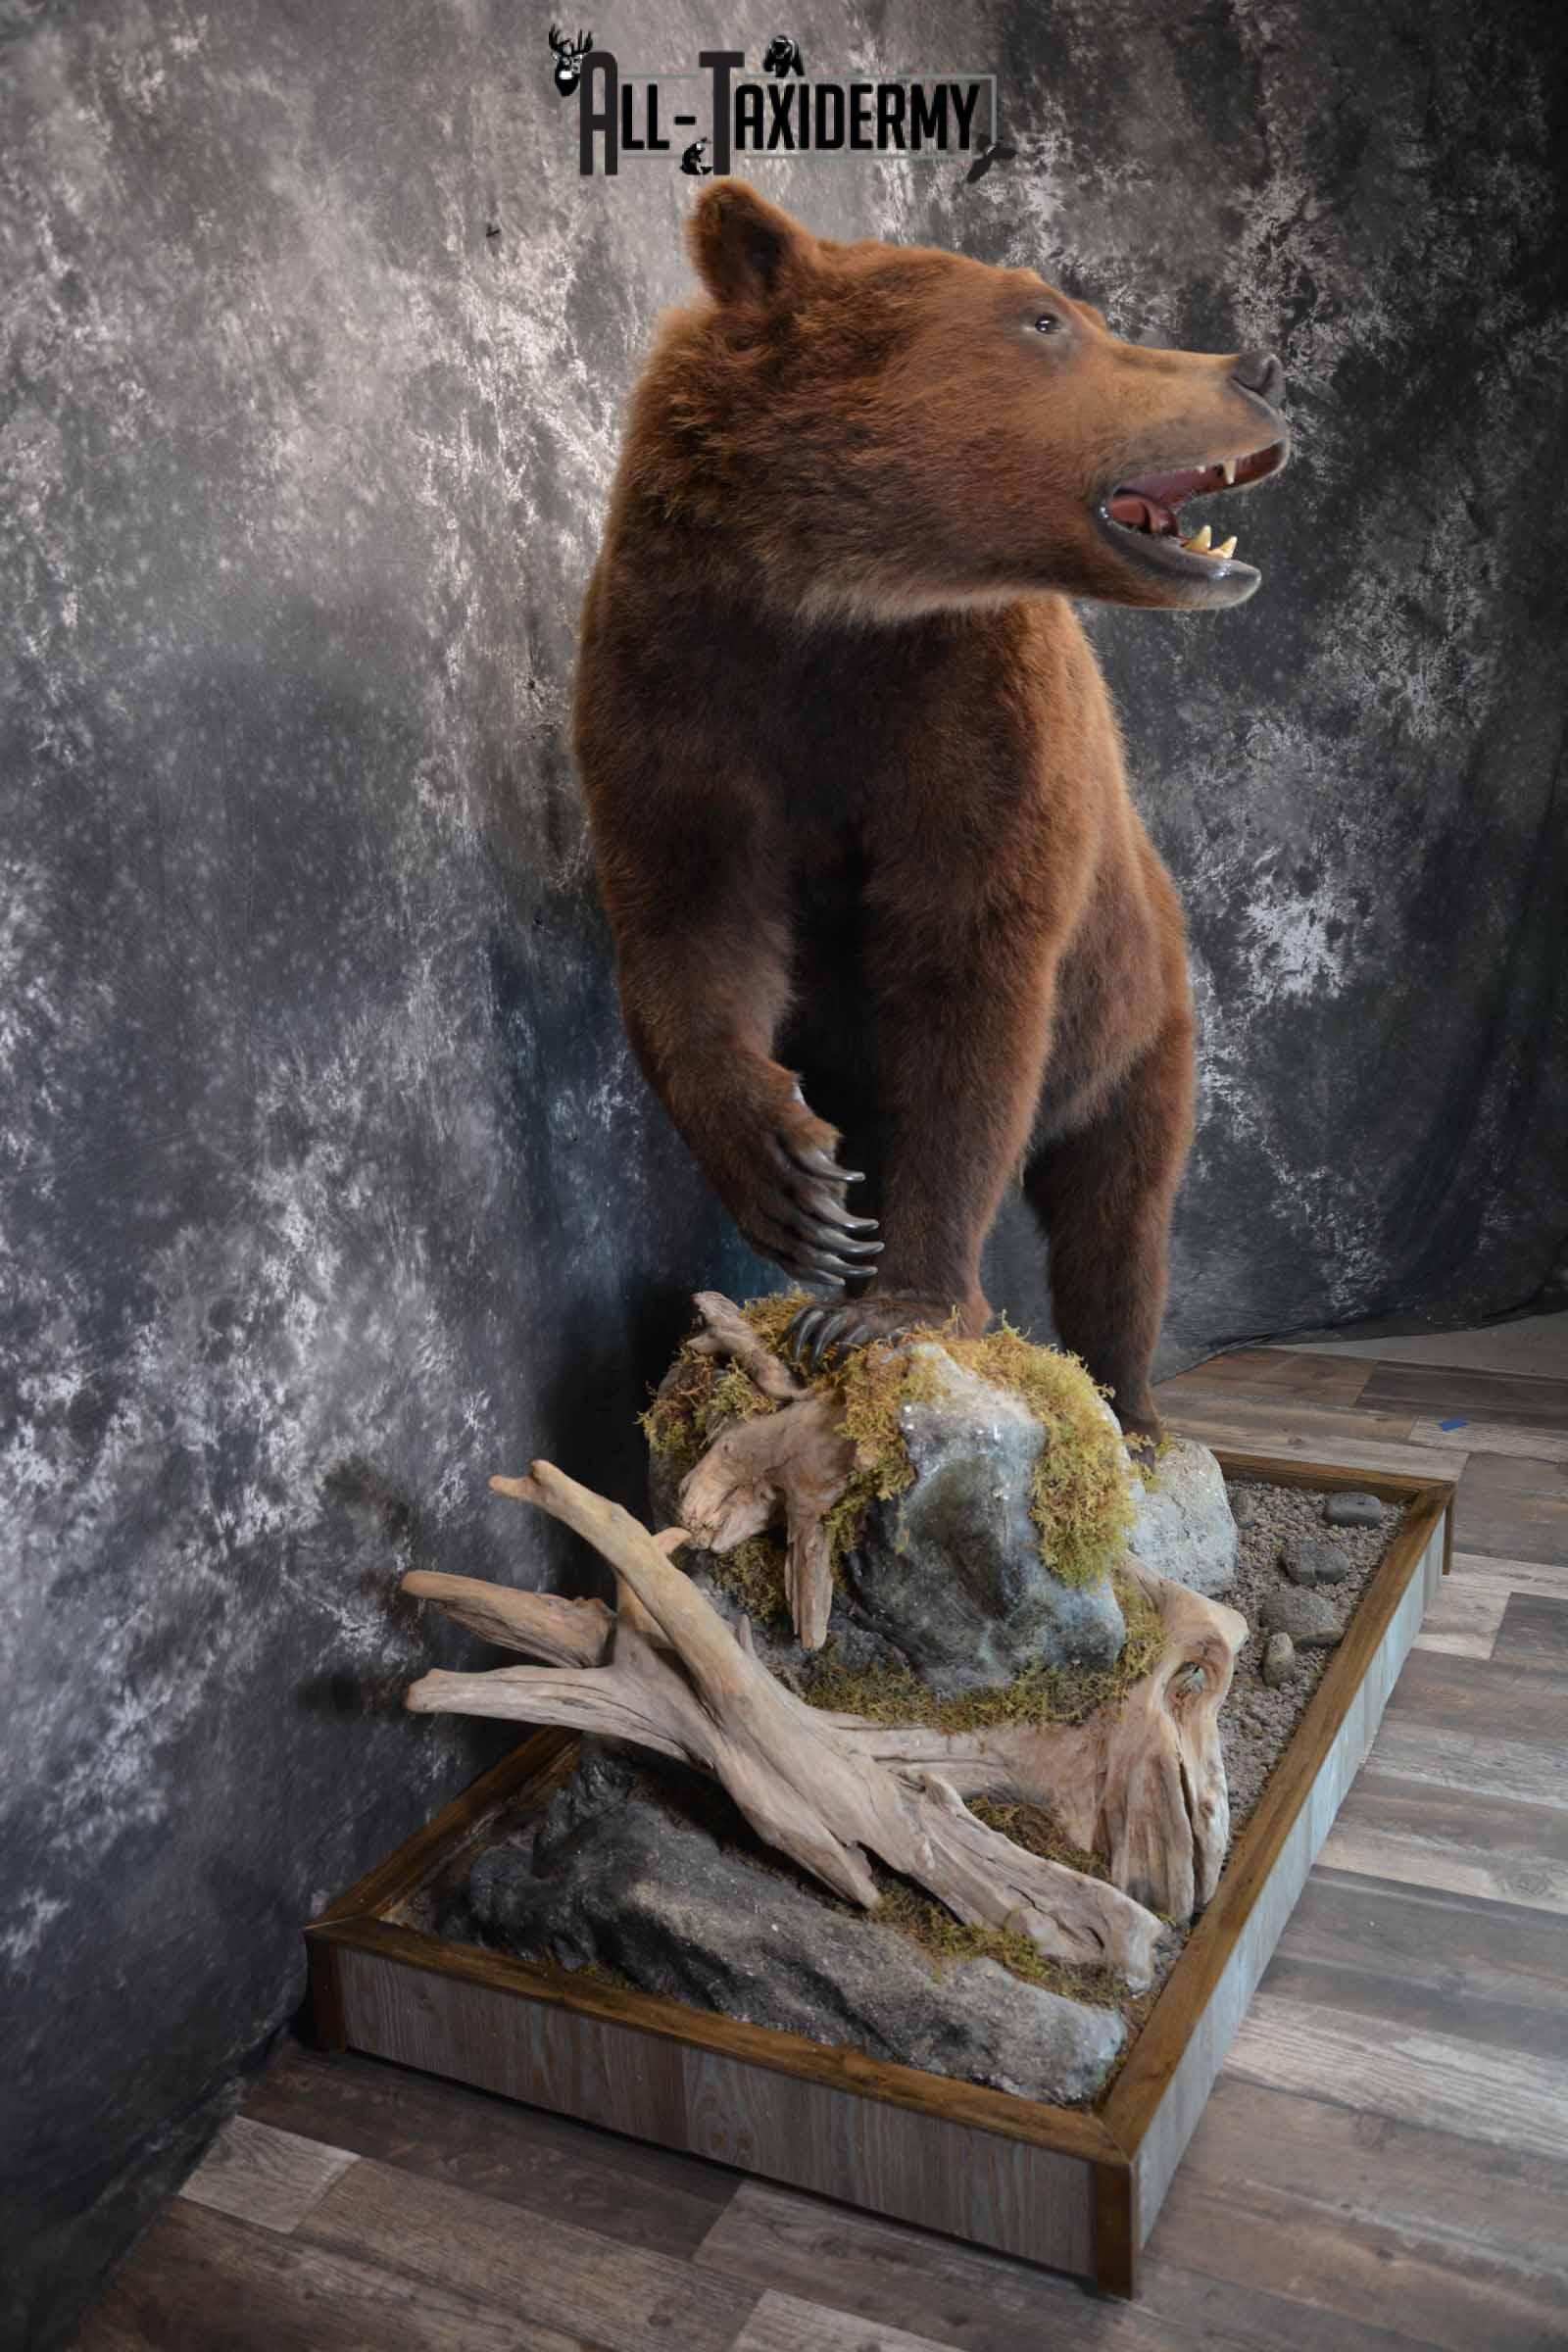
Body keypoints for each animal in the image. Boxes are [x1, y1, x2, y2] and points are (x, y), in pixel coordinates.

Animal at [573, 181, 1289, 1442]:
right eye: (1046, 320)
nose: (1256, 366)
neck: (830, 604)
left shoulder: (975, 715)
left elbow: (969, 989)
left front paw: (891, 1307)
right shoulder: (679, 691)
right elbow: (689, 932)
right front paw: (796, 1183)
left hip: (1139, 1025)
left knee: (1119, 1218)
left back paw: (1133, 1405)